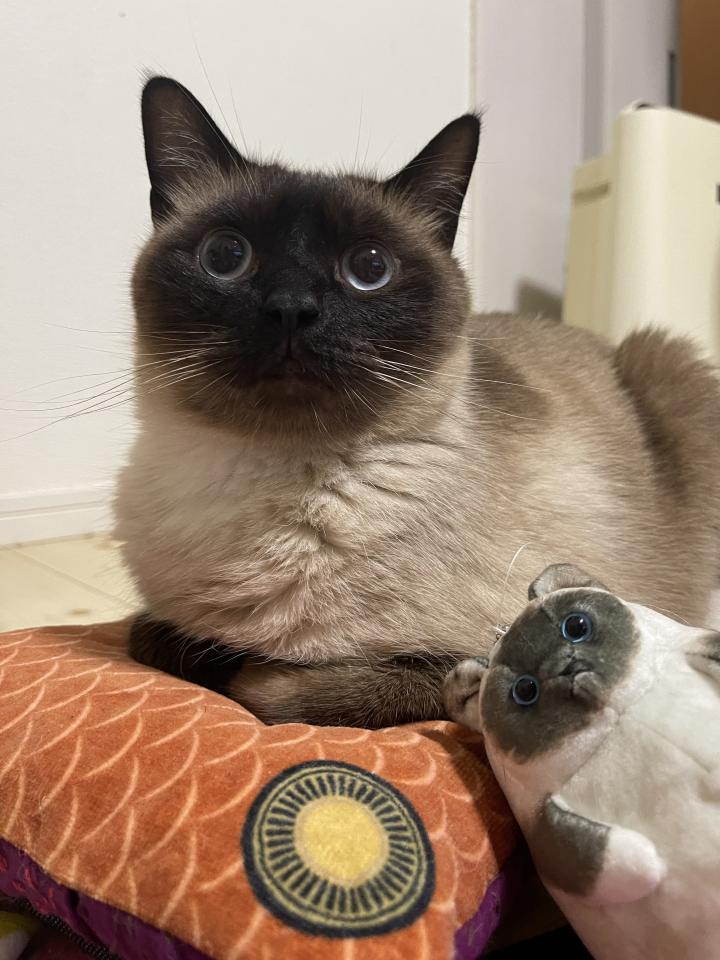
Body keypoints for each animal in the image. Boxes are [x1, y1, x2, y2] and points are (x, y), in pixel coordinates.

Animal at [116, 76, 720, 727]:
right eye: (226, 257)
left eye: (369, 268)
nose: (292, 308)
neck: (282, 487)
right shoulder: (161, 620)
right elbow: (159, 636)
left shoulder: (496, 645)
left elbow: (279, 693)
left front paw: (255, 672)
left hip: (668, 363)